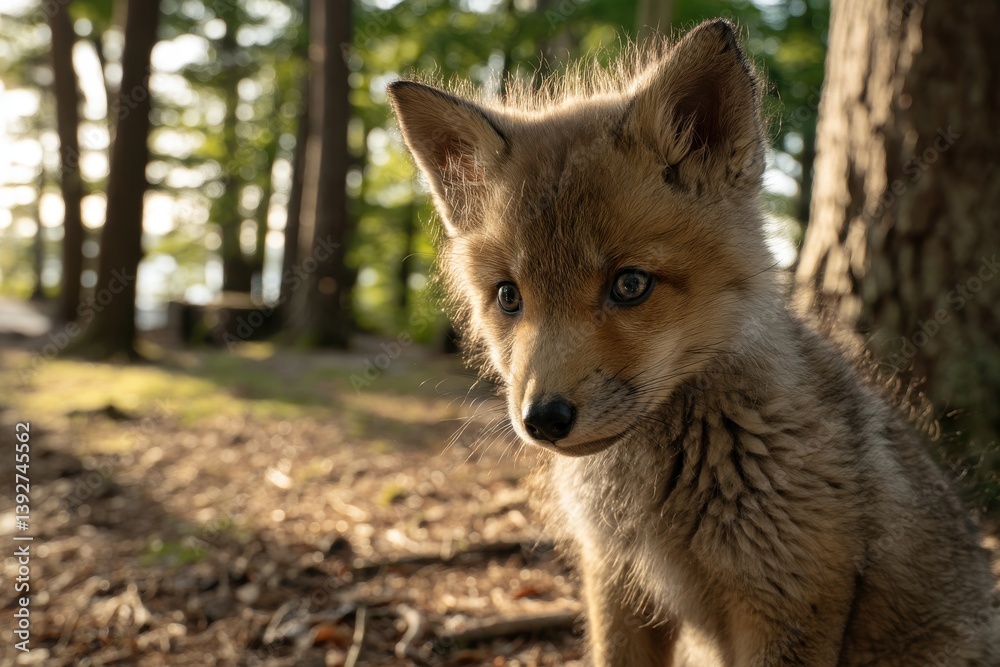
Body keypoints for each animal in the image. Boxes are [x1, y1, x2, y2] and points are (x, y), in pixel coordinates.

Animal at [387, 19, 999, 666]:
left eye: (630, 284)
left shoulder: (789, 600)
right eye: (509, 297)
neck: (665, 494)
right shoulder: (617, 582)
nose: (543, 420)